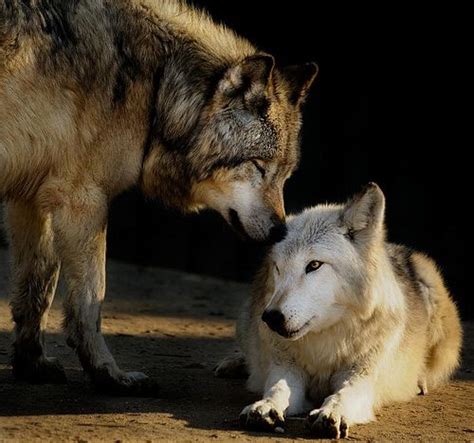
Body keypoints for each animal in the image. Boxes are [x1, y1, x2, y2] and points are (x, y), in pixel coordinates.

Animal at [0, 0, 318, 396]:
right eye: (258, 166)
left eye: (285, 175)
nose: (279, 231)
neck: (157, 89)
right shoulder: (83, 200)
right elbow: (90, 299)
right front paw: (108, 375)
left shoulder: (28, 200)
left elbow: (37, 288)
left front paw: (32, 365)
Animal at [218, 183, 462, 438]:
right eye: (278, 268)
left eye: (314, 265)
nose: (271, 317)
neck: (327, 342)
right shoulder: (286, 367)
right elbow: (277, 388)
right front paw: (265, 406)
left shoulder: (362, 375)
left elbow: (344, 394)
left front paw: (331, 413)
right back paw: (237, 364)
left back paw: (419, 380)